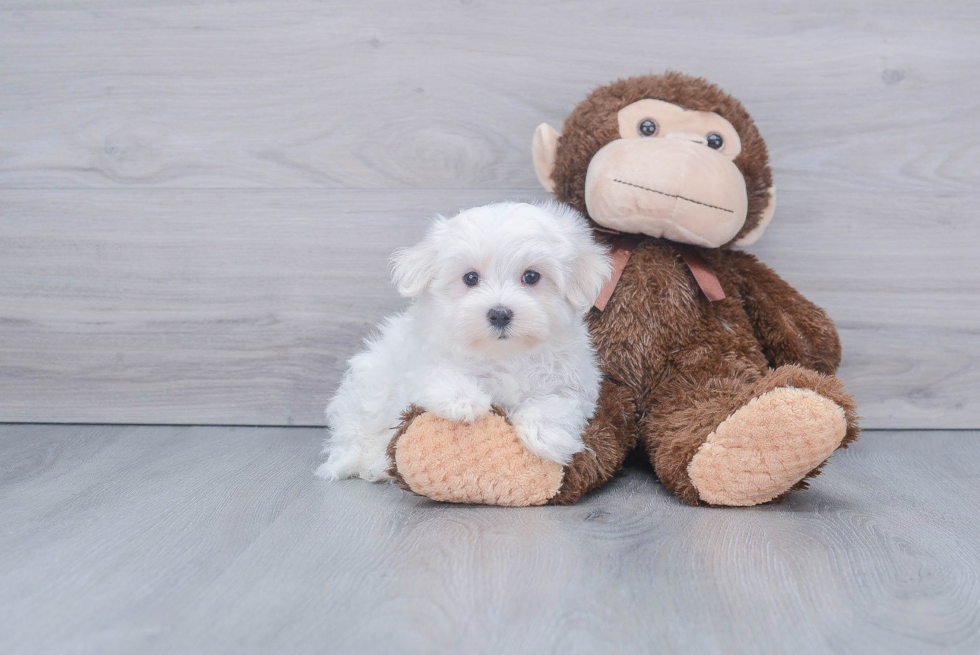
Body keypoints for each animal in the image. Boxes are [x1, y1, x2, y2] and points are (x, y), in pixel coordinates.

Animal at [318, 202, 612, 484]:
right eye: (470, 278)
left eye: (531, 277)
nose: (500, 313)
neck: (506, 355)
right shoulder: (420, 362)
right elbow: (436, 374)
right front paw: (463, 400)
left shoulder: (573, 384)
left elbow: (558, 402)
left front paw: (545, 435)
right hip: (369, 388)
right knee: (357, 436)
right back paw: (374, 463)